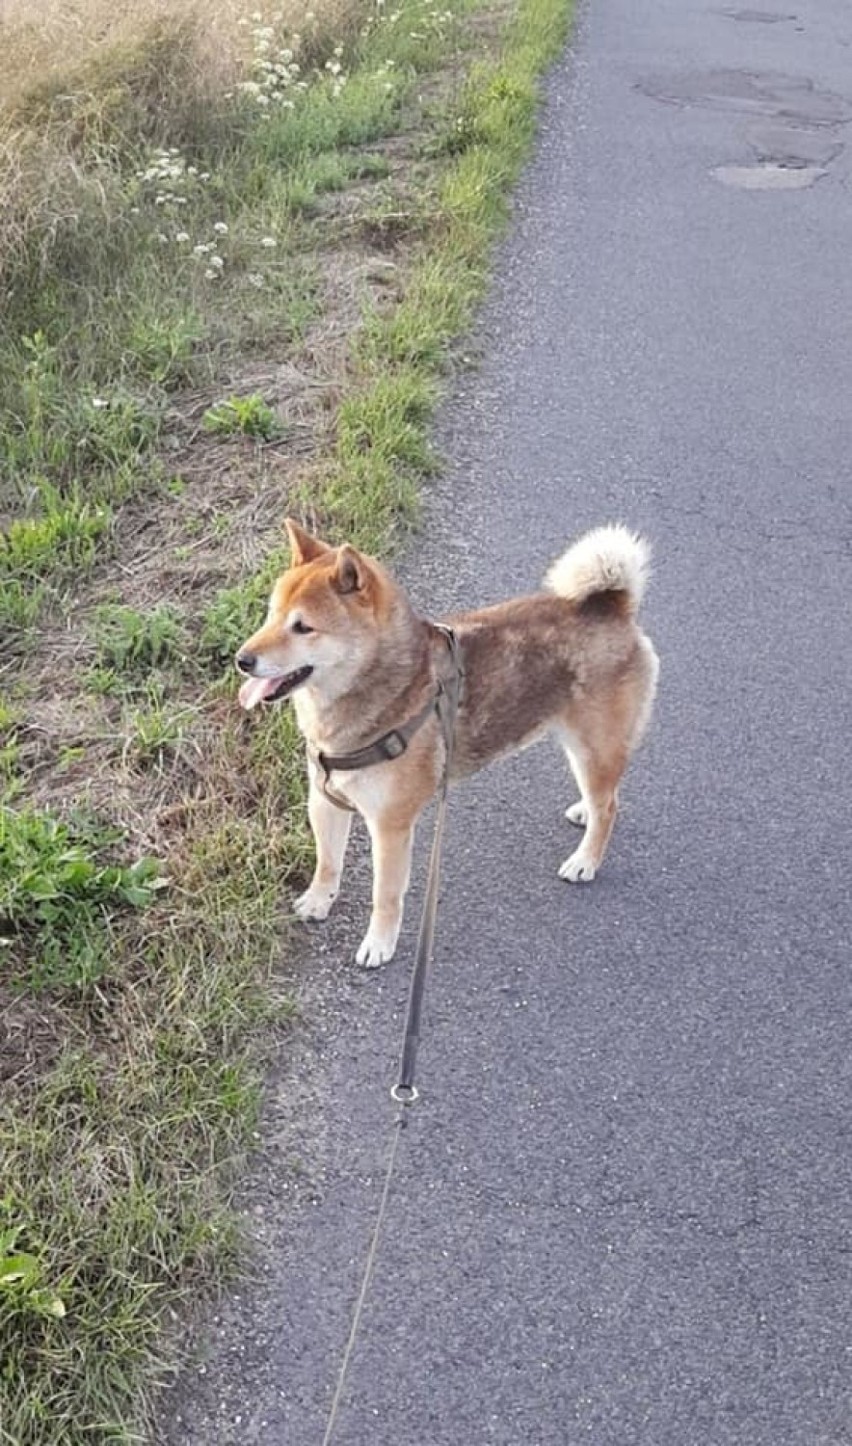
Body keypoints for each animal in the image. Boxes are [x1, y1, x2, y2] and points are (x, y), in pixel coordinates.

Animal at [235, 523, 662, 971]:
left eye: (303, 627)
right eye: (272, 613)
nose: (242, 659)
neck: (388, 687)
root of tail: (612, 605)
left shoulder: (390, 826)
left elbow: (385, 896)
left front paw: (379, 944)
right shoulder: (325, 798)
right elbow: (328, 862)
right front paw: (319, 901)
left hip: (594, 744)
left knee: (609, 806)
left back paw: (585, 860)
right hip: (579, 744)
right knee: (603, 796)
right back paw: (584, 811)